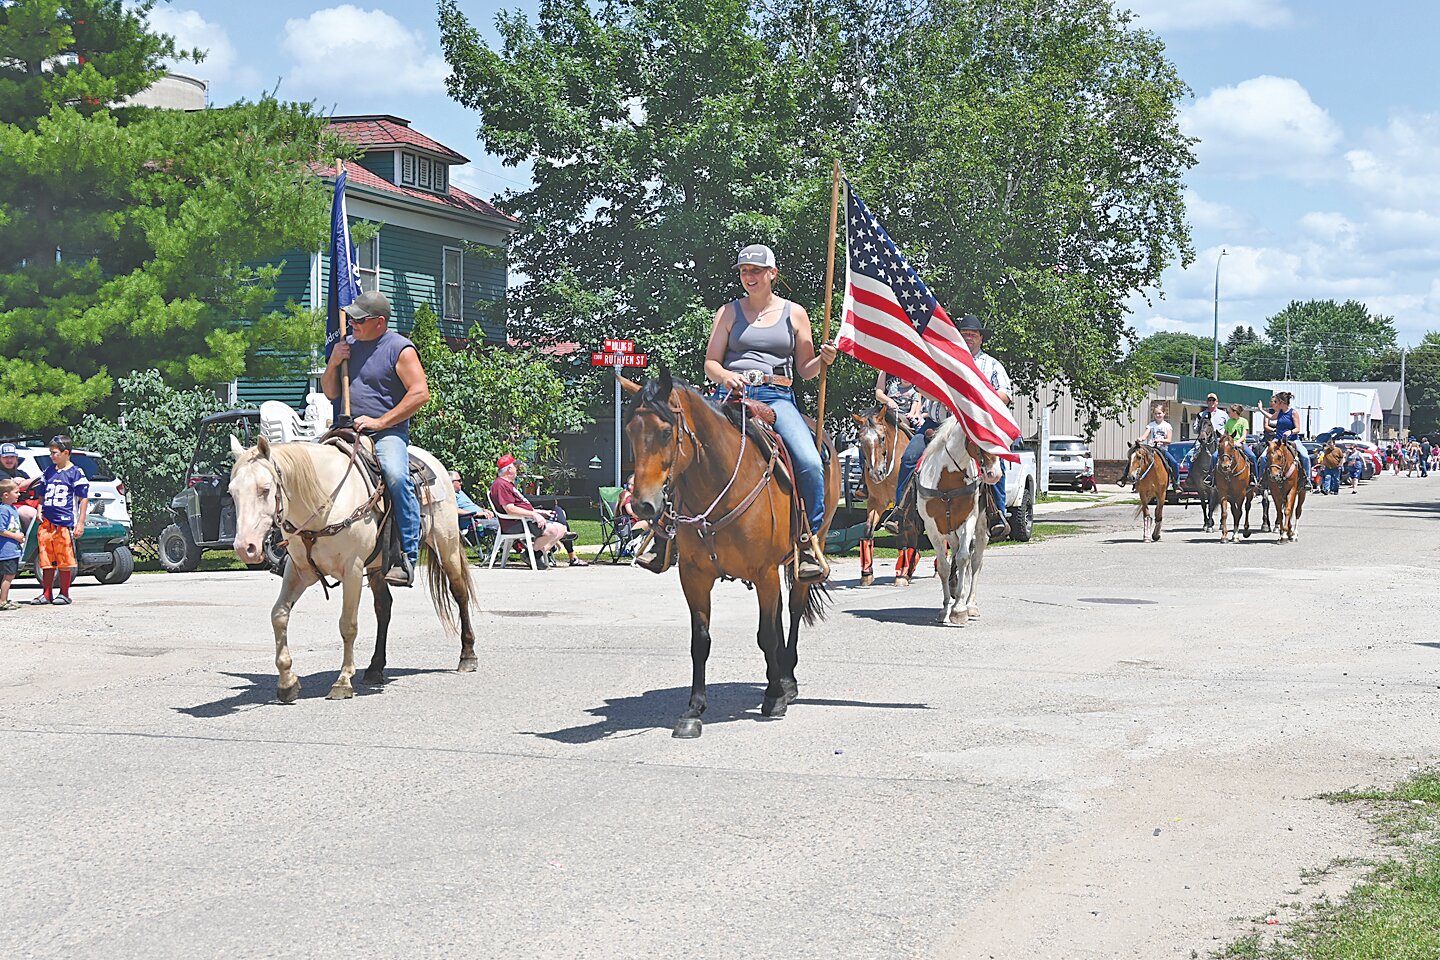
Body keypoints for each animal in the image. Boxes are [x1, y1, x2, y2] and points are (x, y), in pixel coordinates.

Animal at [227, 434, 478, 699]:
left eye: (265, 490)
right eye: (232, 492)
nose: (245, 547)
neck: (325, 504)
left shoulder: (353, 570)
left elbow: (348, 624)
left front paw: (343, 681)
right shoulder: (299, 571)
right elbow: (279, 616)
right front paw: (287, 682)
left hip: (447, 547)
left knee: (459, 592)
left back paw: (468, 656)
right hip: (378, 568)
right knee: (384, 608)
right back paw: (375, 667)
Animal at [624, 371, 840, 742]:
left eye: (666, 432)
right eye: (628, 431)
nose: (643, 505)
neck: (718, 484)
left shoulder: (764, 572)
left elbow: (767, 634)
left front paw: (774, 698)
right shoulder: (694, 576)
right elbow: (701, 641)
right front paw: (694, 711)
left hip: (806, 553)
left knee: (793, 611)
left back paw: (787, 680)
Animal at [852, 405, 921, 587]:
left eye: (882, 438)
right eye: (861, 441)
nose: (876, 474)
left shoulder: (902, 504)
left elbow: (901, 534)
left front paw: (901, 576)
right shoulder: (876, 502)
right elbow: (868, 530)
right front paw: (866, 574)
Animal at [910, 417, 1002, 627]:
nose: (995, 474)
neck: (947, 482)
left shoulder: (968, 521)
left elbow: (963, 559)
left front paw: (959, 610)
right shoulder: (933, 528)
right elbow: (944, 567)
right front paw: (945, 608)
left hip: (980, 528)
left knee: (975, 562)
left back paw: (971, 604)